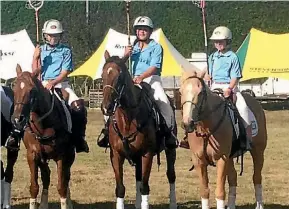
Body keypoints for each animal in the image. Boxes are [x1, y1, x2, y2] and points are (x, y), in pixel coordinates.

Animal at [11, 65, 75, 209]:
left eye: (32, 90)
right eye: (14, 88)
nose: (17, 120)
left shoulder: (61, 155)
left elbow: (61, 186)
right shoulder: (33, 155)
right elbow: (34, 187)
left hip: (70, 155)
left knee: (66, 177)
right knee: (46, 177)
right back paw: (44, 204)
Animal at [101, 51, 178, 209]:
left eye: (120, 76)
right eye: (102, 74)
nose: (106, 107)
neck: (128, 119)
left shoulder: (147, 154)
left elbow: (144, 186)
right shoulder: (116, 155)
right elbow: (120, 188)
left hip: (170, 149)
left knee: (171, 175)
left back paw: (173, 204)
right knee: (138, 176)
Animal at [179, 70, 266, 209]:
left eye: (200, 92)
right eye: (180, 92)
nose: (188, 123)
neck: (206, 128)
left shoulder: (222, 158)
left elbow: (220, 192)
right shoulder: (199, 160)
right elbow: (204, 191)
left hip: (258, 151)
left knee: (257, 177)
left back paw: (259, 205)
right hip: (231, 156)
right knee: (233, 178)